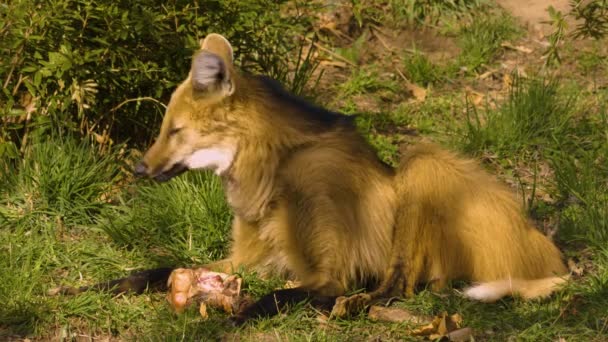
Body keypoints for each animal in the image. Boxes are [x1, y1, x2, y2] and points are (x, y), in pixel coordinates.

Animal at [60, 33, 564, 324]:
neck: (273, 169)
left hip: (422, 163)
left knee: (397, 286)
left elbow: (277, 297)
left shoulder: (326, 275)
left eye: (175, 130)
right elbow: (157, 268)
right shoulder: (248, 259)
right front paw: (87, 288)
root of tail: (550, 253)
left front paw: (226, 322)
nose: (138, 169)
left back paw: (358, 307)